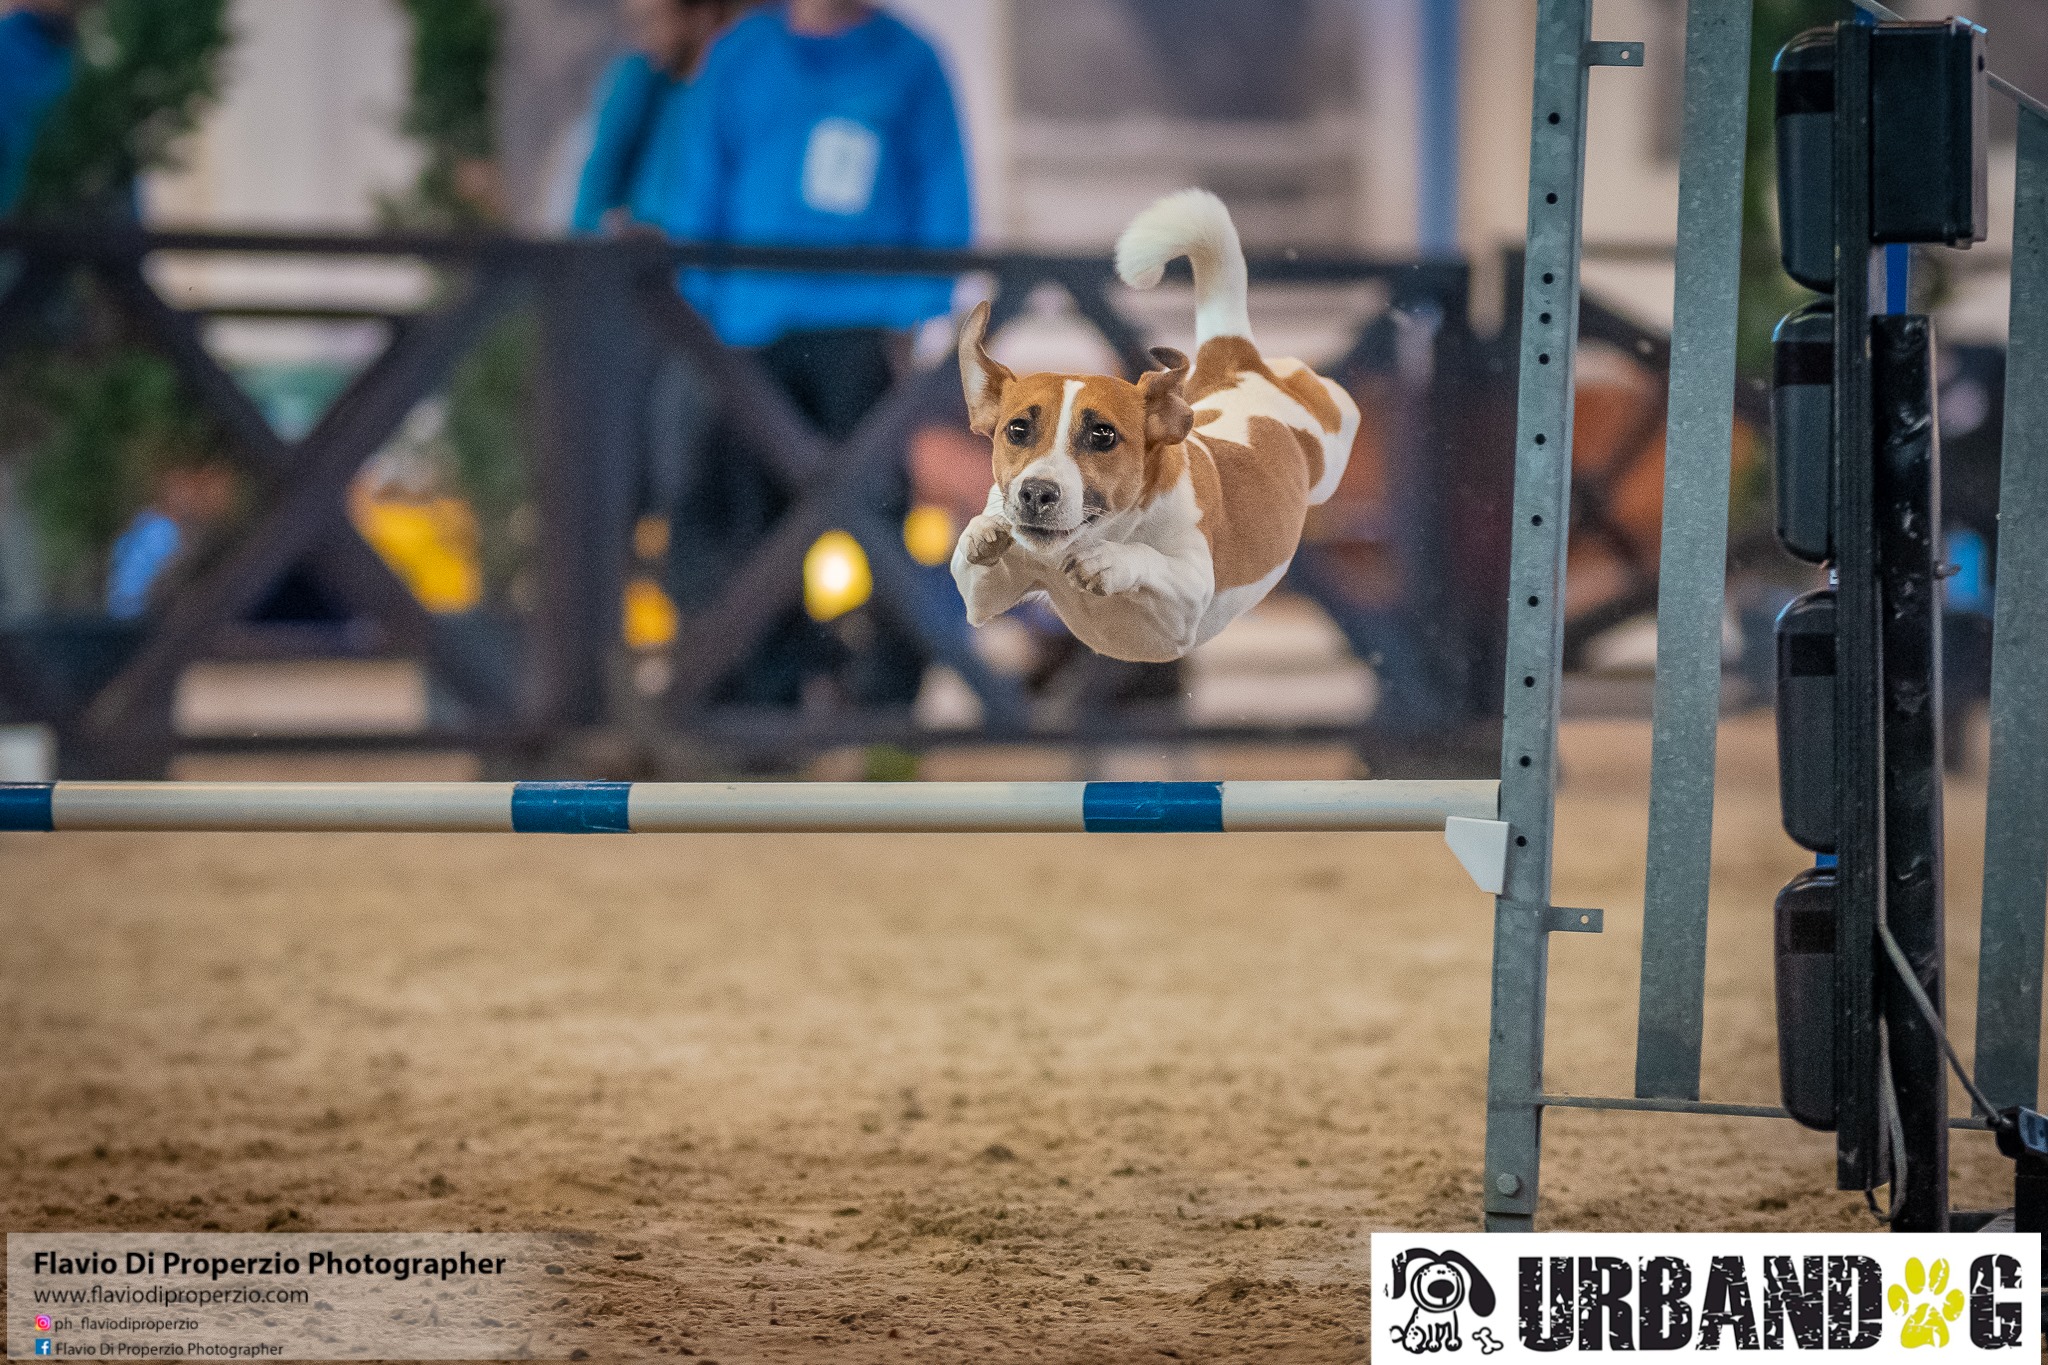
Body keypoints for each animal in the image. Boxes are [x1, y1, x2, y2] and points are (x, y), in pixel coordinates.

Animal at [954, 189, 1359, 663]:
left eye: (1103, 435)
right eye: (1017, 430)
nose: (1035, 493)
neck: (1097, 532)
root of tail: (1236, 361)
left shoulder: (1189, 599)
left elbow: (1149, 560)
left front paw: (1109, 559)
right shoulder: (986, 598)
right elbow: (975, 576)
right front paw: (981, 532)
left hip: (1329, 439)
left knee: (1328, 391)